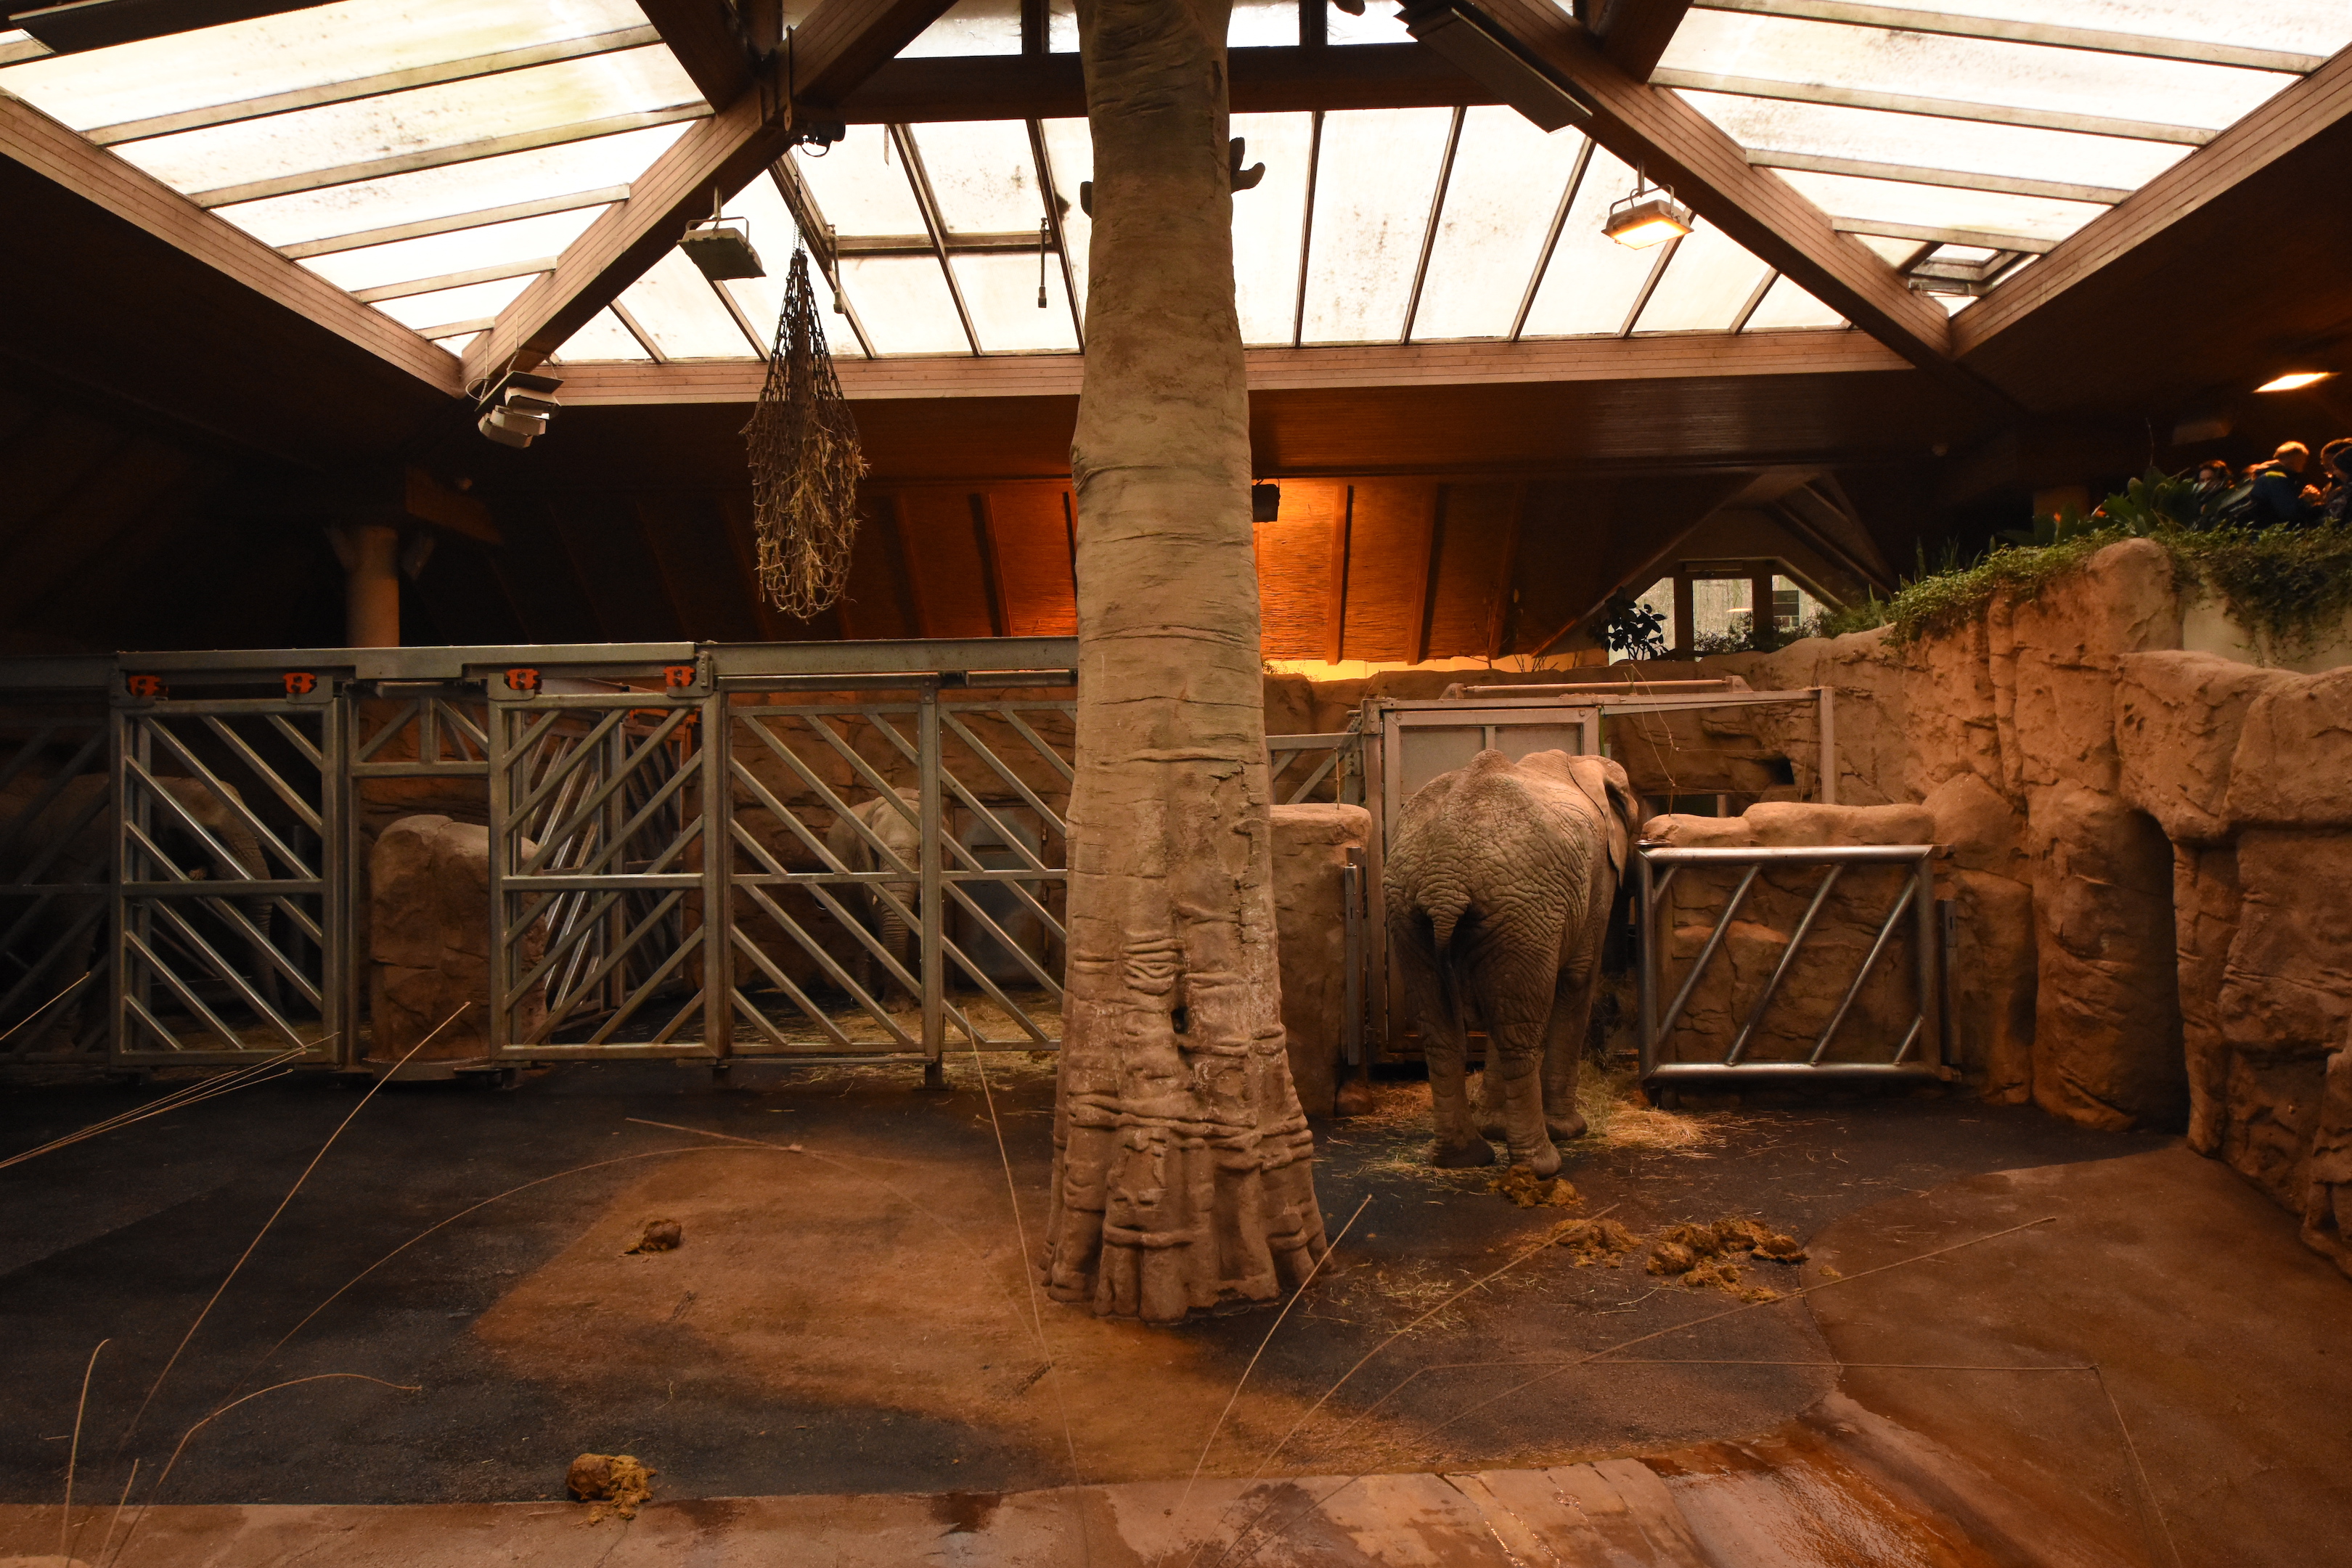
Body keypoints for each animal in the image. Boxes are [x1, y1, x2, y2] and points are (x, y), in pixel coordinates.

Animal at [823, 787, 922, 1008]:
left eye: (921, 850)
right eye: (874, 852)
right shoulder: (865, 864)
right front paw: (896, 1007)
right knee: (861, 932)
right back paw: (868, 996)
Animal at [1383, 749, 1641, 1176]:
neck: (1578, 763)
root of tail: (1446, 875)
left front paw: (1495, 1126)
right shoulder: (1598, 875)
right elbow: (1578, 979)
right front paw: (1571, 1130)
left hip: (1414, 910)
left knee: (1443, 1032)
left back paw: (1462, 1158)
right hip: (1523, 909)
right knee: (1518, 1035)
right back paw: (1540, 1165)